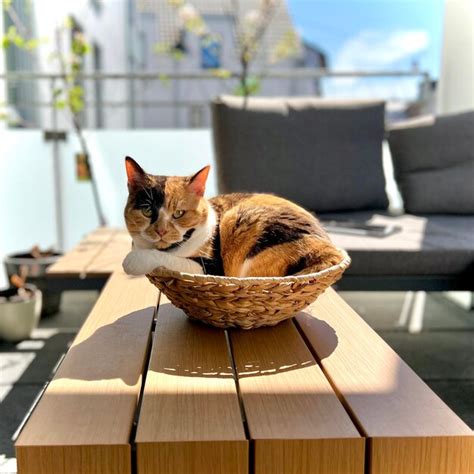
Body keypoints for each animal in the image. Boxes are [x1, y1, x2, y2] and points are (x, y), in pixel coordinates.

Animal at [123, 157, 344, 278]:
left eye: (178, 213)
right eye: (147, 210)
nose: (161, 231)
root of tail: (330, 250)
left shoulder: (209, 267)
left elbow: (165, 259)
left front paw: (131, 262)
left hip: (238, 219)